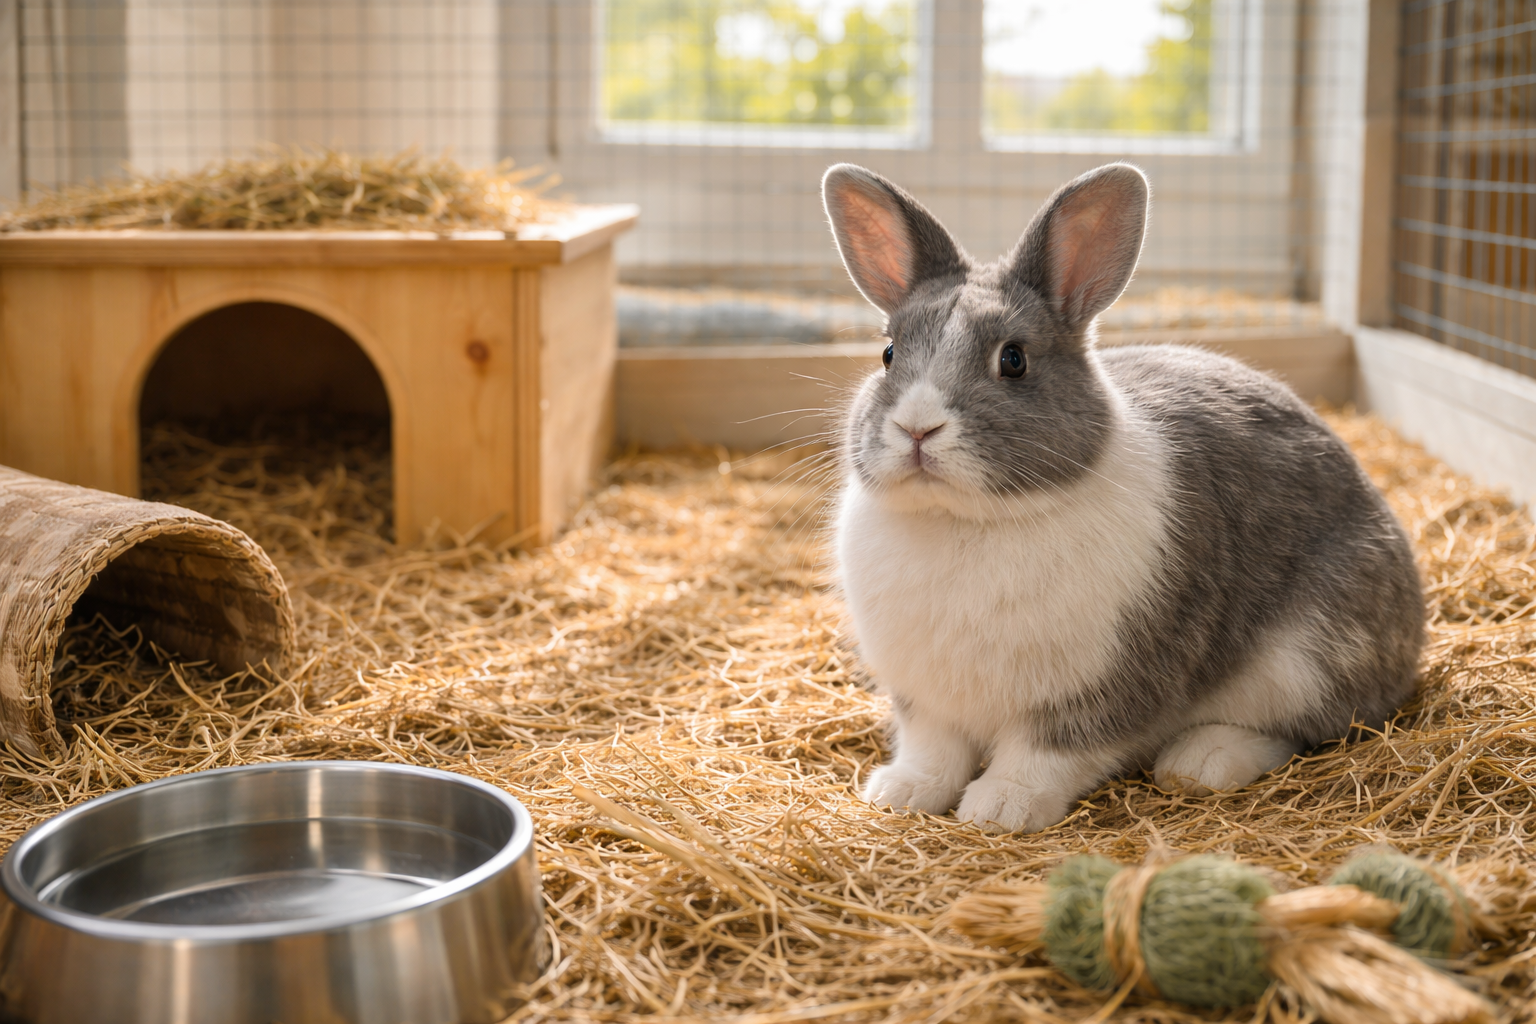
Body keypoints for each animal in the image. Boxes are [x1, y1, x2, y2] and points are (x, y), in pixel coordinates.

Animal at [821, 161, 1424, 833]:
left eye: (1014, 359)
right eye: (888, 353)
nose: (917, 428)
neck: (966, 521)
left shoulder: (1100, 690)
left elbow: (1047, 753)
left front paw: (1000, 809)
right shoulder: (926, 701)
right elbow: (933, 750)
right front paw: (899, 793)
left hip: (1308, 657)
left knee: (1306, 727)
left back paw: (1202, 761)